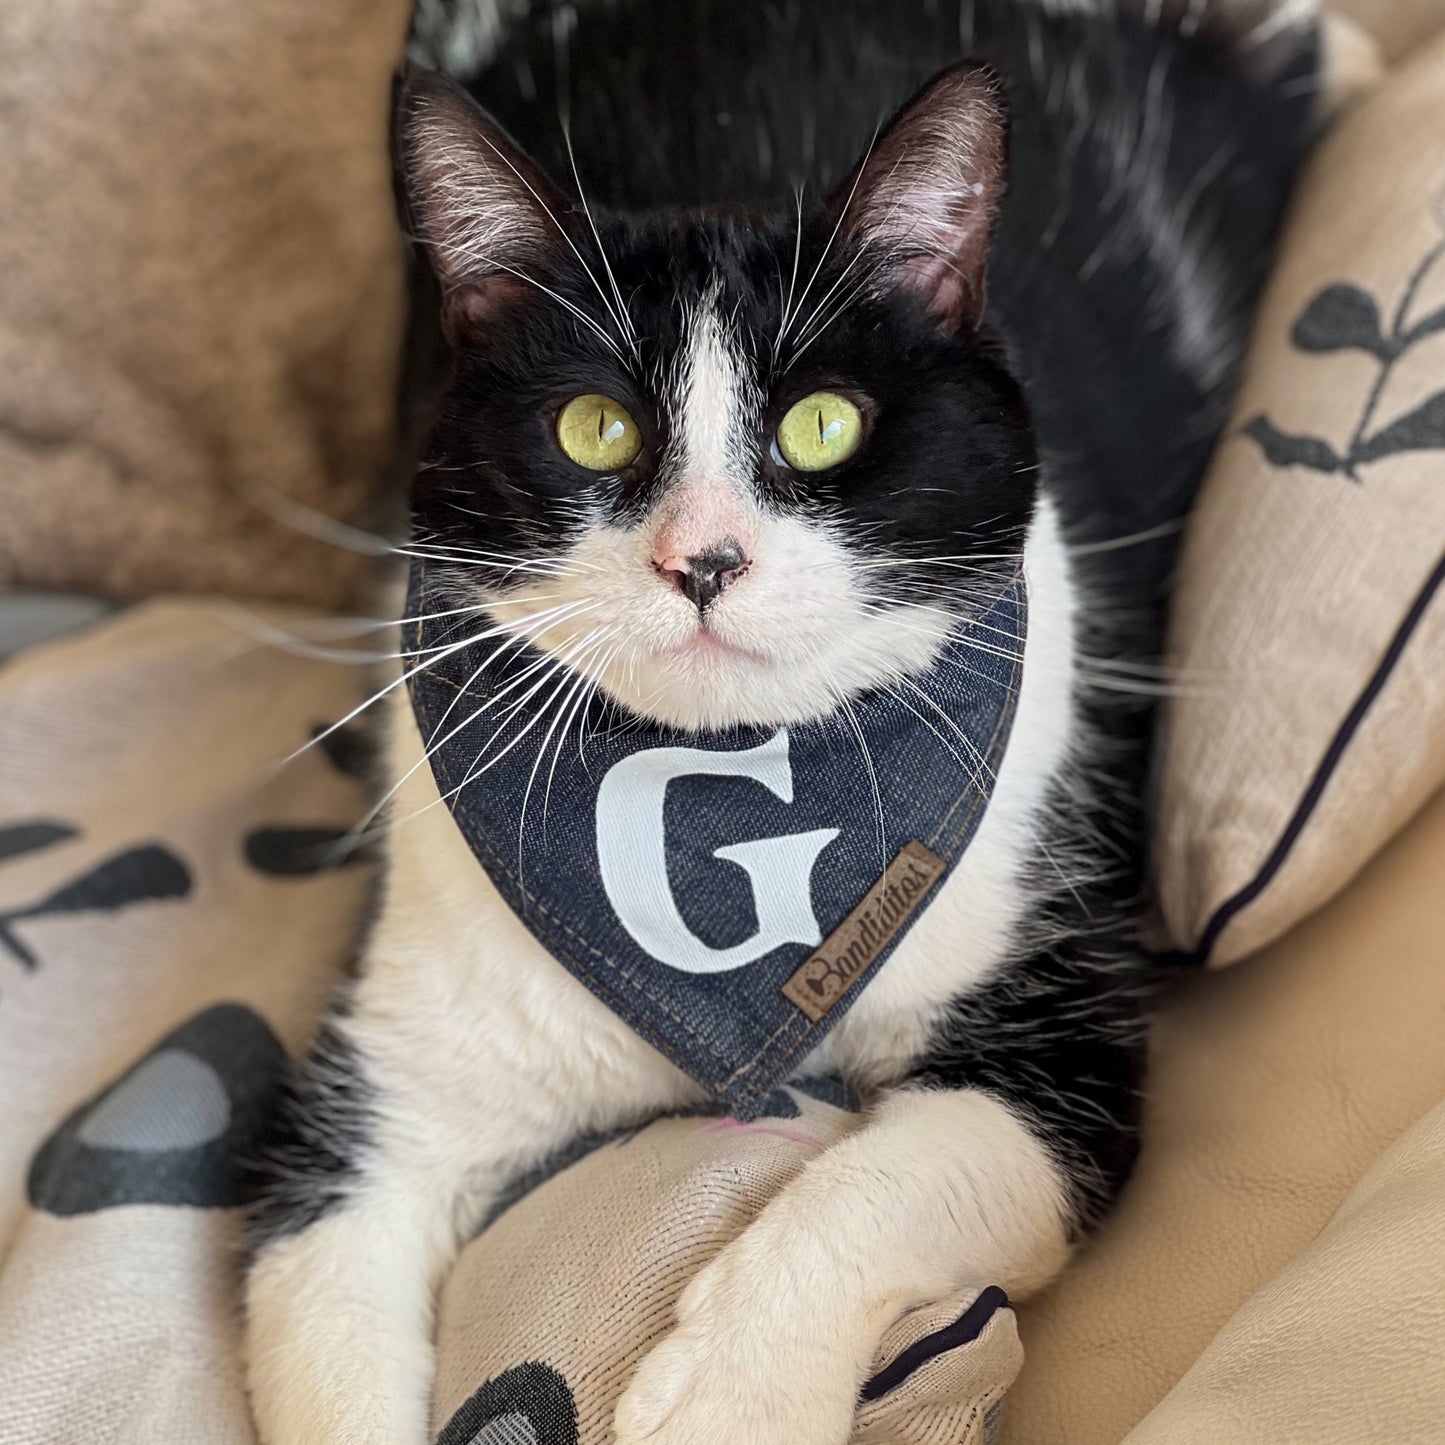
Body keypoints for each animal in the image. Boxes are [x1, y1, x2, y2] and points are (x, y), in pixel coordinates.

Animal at [245, 2, 1323, 1445]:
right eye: (593, 426)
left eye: (822, 424)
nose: (702, 559)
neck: (713, 809)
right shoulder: (394, 1074)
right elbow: (322, 1259)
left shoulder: (1056, 1030)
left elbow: (891, 1173)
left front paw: (726, 1395)